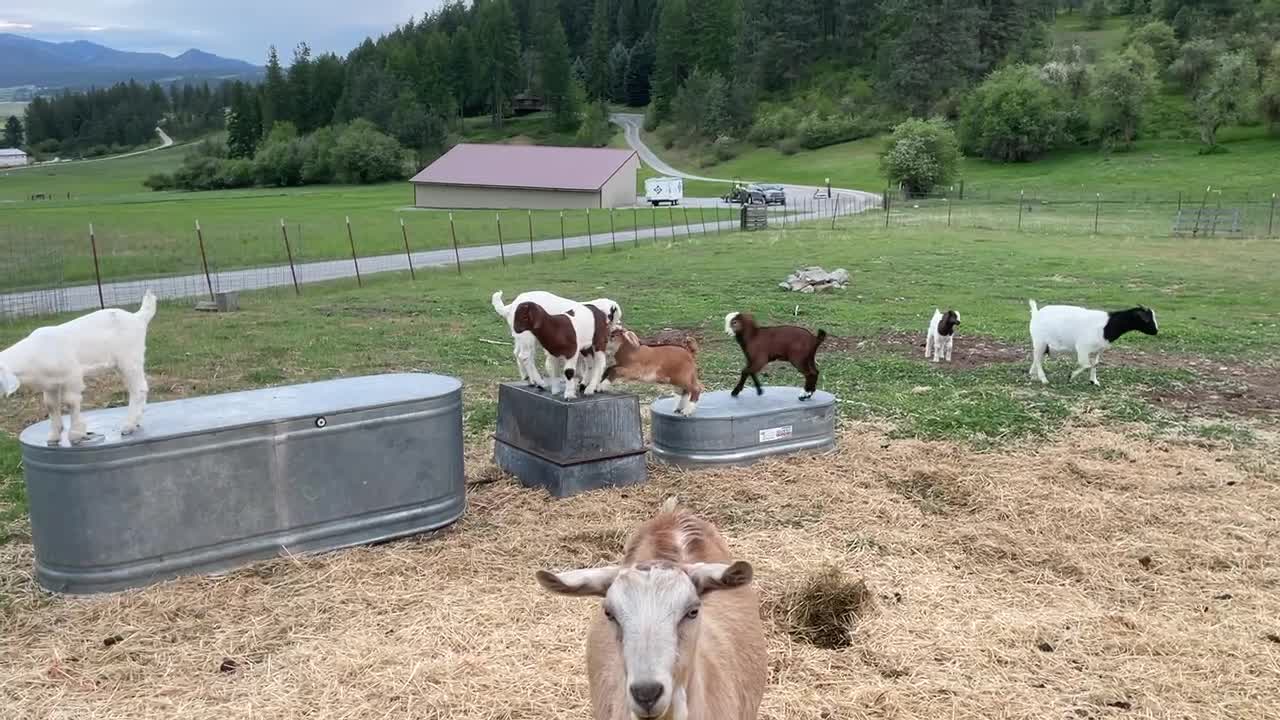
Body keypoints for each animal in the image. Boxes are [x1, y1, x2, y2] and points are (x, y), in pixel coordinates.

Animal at [0, 289, 158, 443]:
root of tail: (138, 317)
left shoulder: (72, 376)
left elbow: (71, 401)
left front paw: (76, 434)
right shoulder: (50, 385)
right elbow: (50, 404)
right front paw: (54, 435)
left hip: (130, 358)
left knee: (139, 389)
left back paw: (128, 426)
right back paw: (136, 421)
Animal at [1029, 298, 1162, 386]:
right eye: (1147, 320)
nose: (1156, 331)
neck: (1107, 326)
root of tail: (1036, 313)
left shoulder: (1099, 349)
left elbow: (1095, 364)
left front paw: (1094, 381)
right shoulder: (1082, 348)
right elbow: (1086, 364)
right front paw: (1071, 376)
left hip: (1043, 344)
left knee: (1037, 358)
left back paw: (1033, 374)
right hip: (1039, 341)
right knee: (1038, 358)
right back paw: (1043, 379)